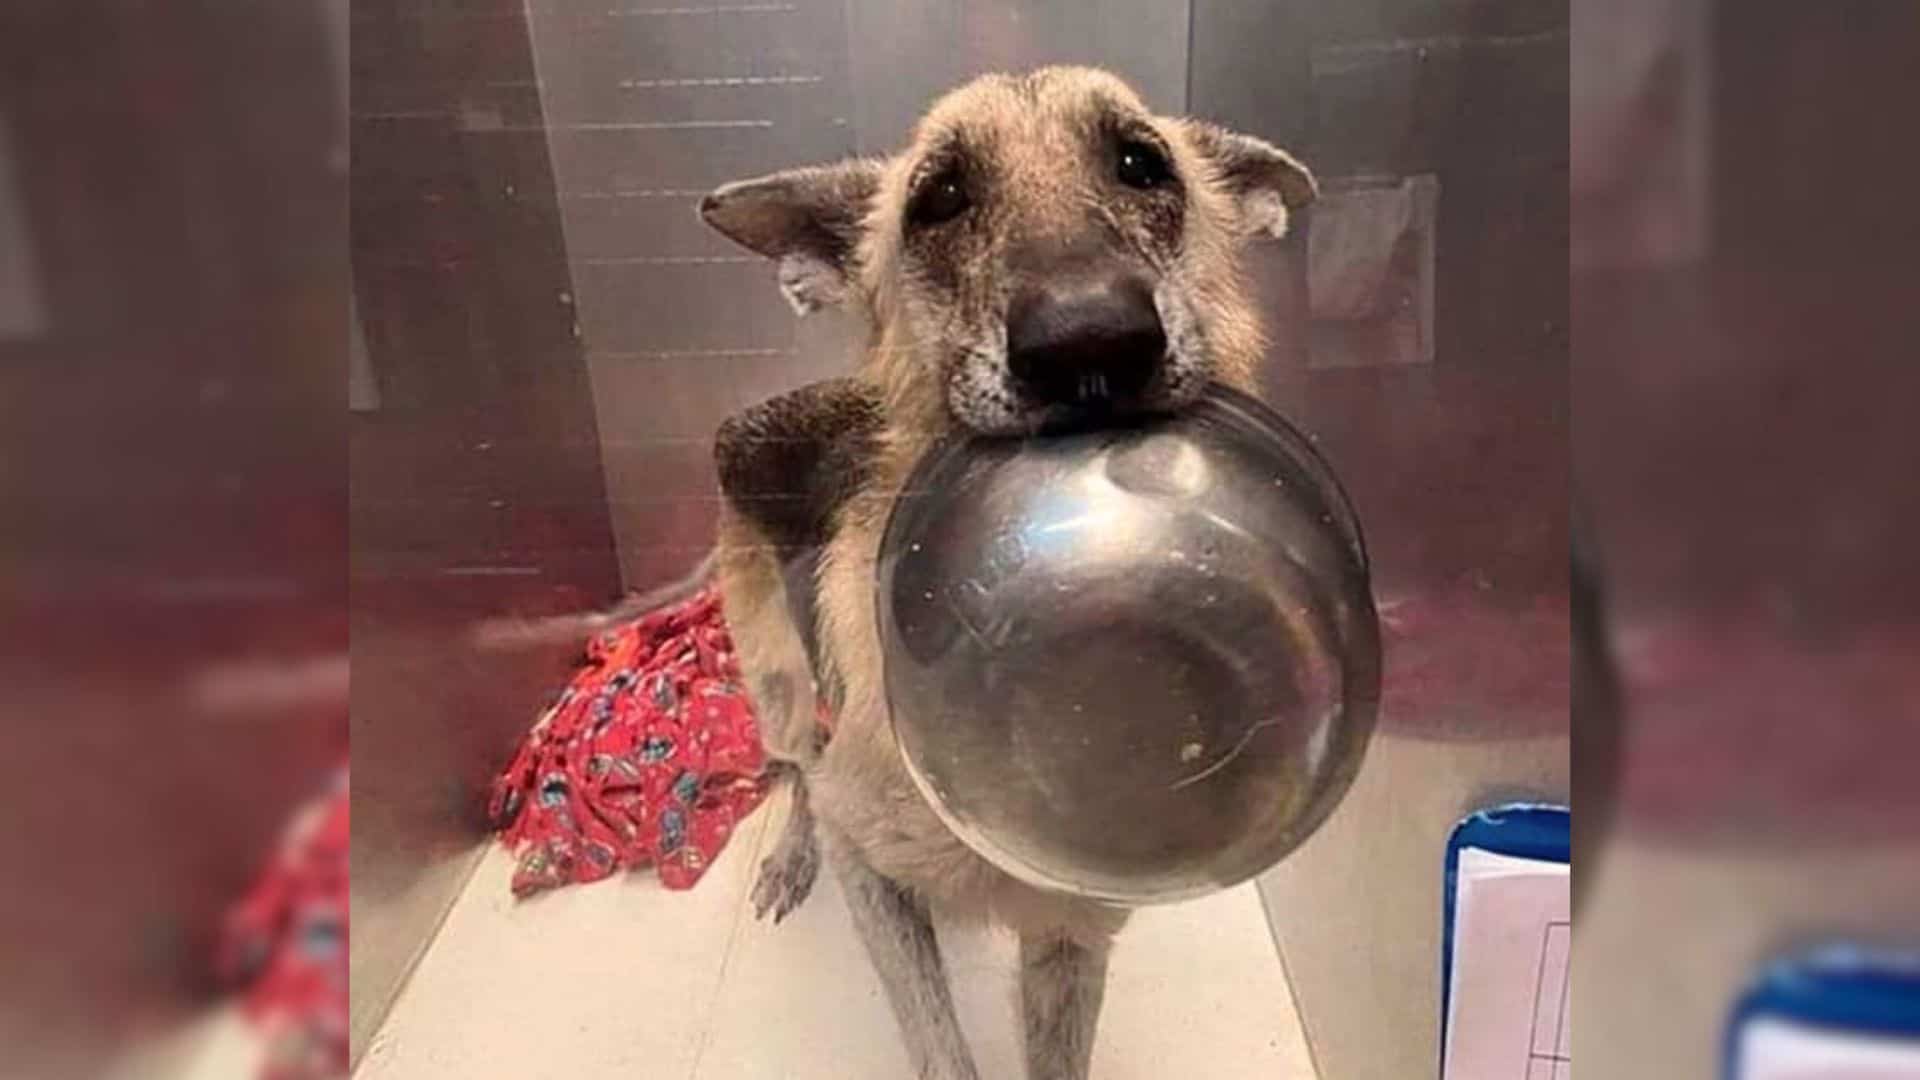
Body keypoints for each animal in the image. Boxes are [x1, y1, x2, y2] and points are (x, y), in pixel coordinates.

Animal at [698, 69, 1313, 1076]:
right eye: (939, 197)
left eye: (1142, 163)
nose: (1091, 343)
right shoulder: (873, 875)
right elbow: (938, 1044)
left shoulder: (1074, 931)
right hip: (774, 679)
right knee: (793, 767)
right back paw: (789, 851)